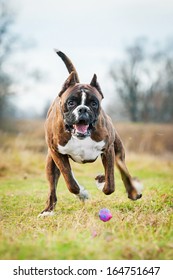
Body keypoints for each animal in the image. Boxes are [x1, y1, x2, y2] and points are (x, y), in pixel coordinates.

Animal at [39, 50, 143, 217]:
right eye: (71, 102)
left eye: (94, 103)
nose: (83, 109)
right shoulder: (57, 154)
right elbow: (70, 182)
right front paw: (82, 193)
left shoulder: (108, 150)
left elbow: (110, 184)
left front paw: (101, 181)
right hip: (50, 161)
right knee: (53, 187)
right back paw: (48, 210)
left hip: (119, 150)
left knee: (123, 170)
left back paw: (133, 192)